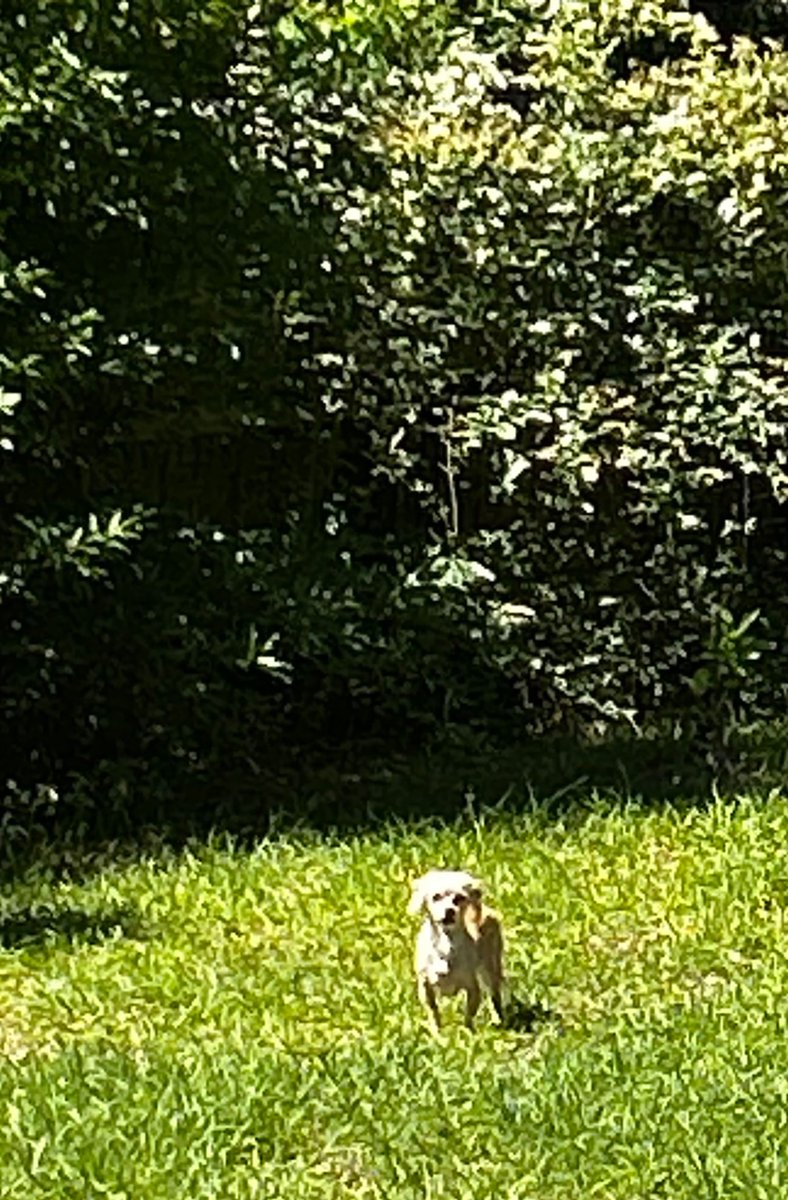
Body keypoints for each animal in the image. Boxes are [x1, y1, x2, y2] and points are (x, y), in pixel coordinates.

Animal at [407, 868, 501, 1036]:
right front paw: (437, 1035)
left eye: (459, 899)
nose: (449, 910)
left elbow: (469, 1015)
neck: (445, 945)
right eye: (436, 897)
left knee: (494, 995)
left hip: (491, 969)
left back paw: (498, 1020)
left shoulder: (472, 988)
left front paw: (468, 1034)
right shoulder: (425, 986)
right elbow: (433, 1012)